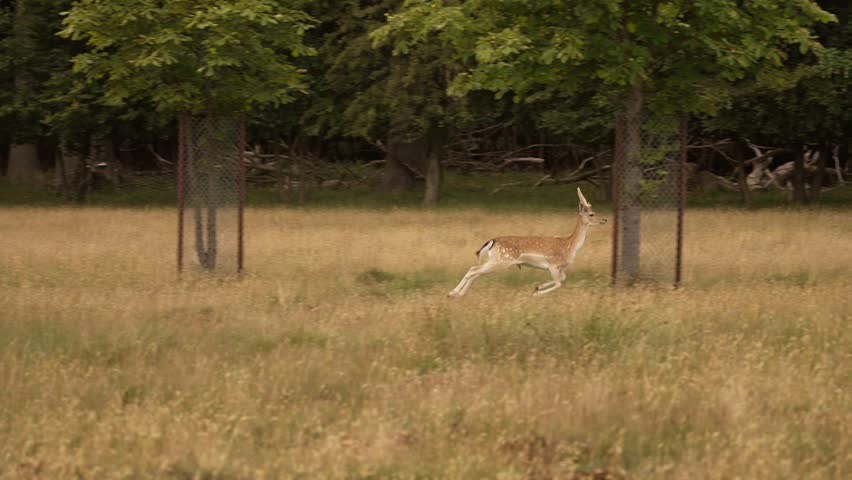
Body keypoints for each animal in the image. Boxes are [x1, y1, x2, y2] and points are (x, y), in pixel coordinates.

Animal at [448, 188, 607, 297]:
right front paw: (536, 293)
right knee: (473, 270)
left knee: (475, 271)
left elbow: (563, 279)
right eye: (591, 214)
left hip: (494, 260)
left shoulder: (560, 268)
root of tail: (492, 241)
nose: (605, 219)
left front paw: (538, 287)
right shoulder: (552, 265)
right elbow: (559, 283)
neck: (570, 246)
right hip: (501, 260)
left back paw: (459, 294)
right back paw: (452, 293)